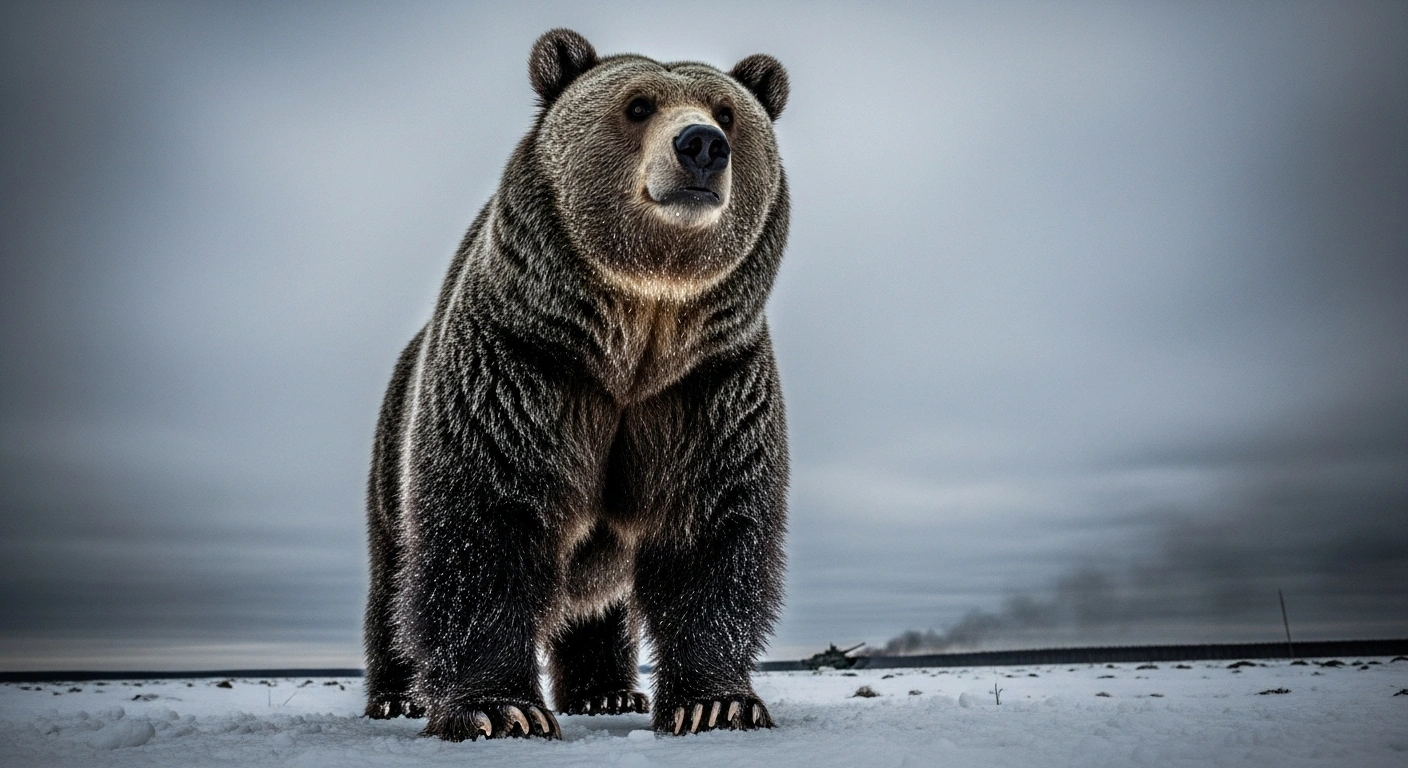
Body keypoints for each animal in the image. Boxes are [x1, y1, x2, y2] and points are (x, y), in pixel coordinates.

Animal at [362, 28, 791, 741]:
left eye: (728, 112)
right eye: (638, 105)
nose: (701, 145)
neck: (638, 331)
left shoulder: (707, 390)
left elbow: (711, 534)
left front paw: (715, 704)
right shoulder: (524, 370)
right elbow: (484, 528)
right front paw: (499, 708)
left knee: (598, 602)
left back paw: (608, 692)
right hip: (392, 447)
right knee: (394, 576)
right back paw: (397, 696)